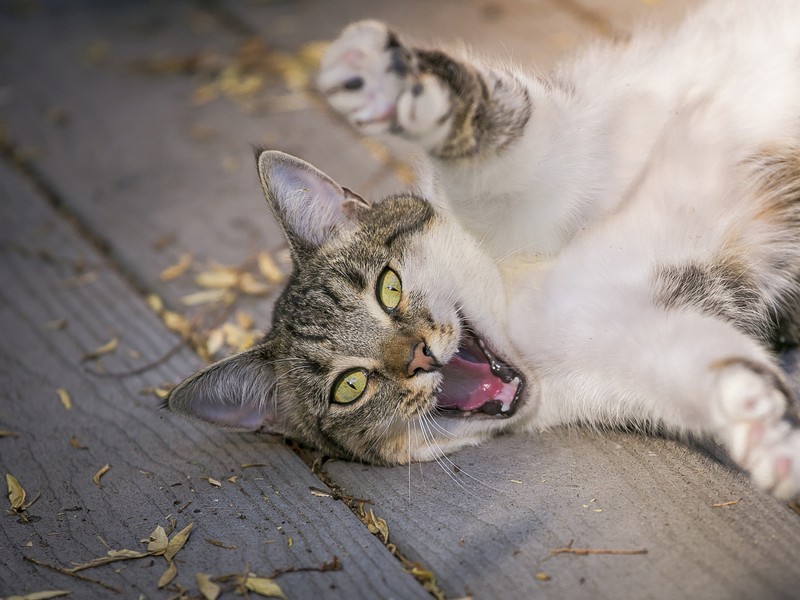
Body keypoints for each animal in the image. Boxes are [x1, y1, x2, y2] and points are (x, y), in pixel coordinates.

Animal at [170, 0, 800, 500]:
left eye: (388, 287)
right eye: (350, 386)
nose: (421, 356)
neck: (524, 313)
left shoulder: (554, 156)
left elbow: (492, 138)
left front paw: (394, 87)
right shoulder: (638, 338)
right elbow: (707, 362)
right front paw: (757, 427)